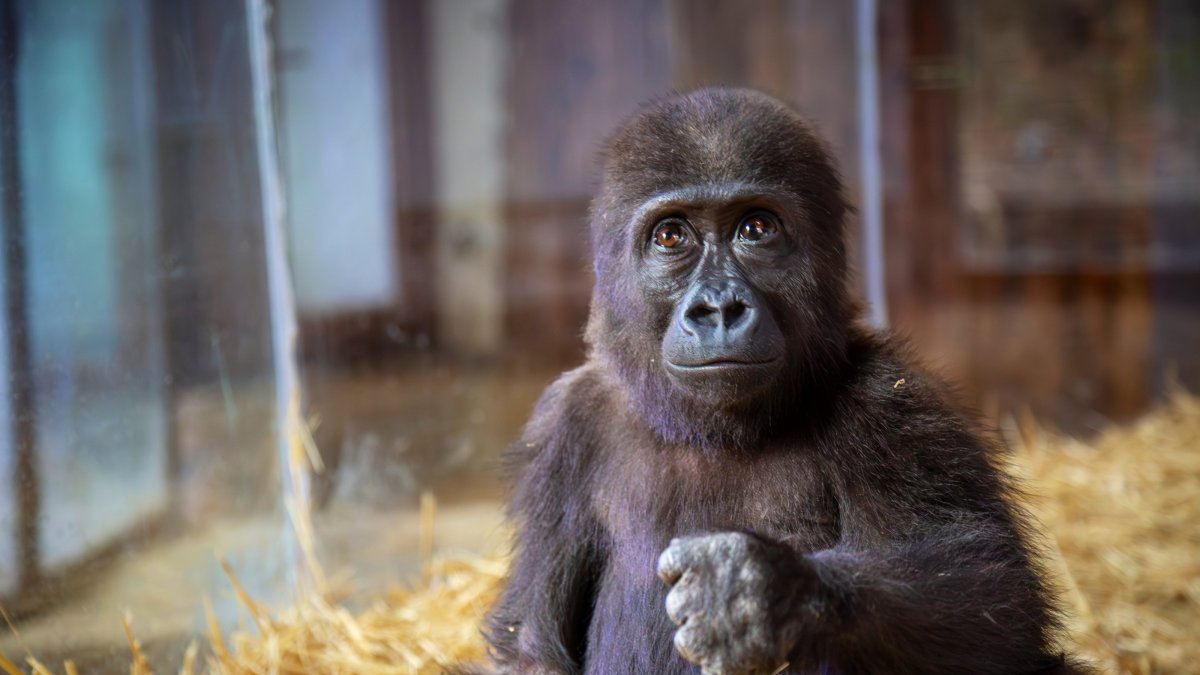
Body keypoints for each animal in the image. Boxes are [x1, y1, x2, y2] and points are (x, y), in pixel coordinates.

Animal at [470, 89, 1089, 672]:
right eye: (671, 237)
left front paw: (764, 593)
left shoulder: (893, 402)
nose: (719, 308)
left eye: (757, 228)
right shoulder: (563, 428)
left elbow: (998, 603)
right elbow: (530, 645)